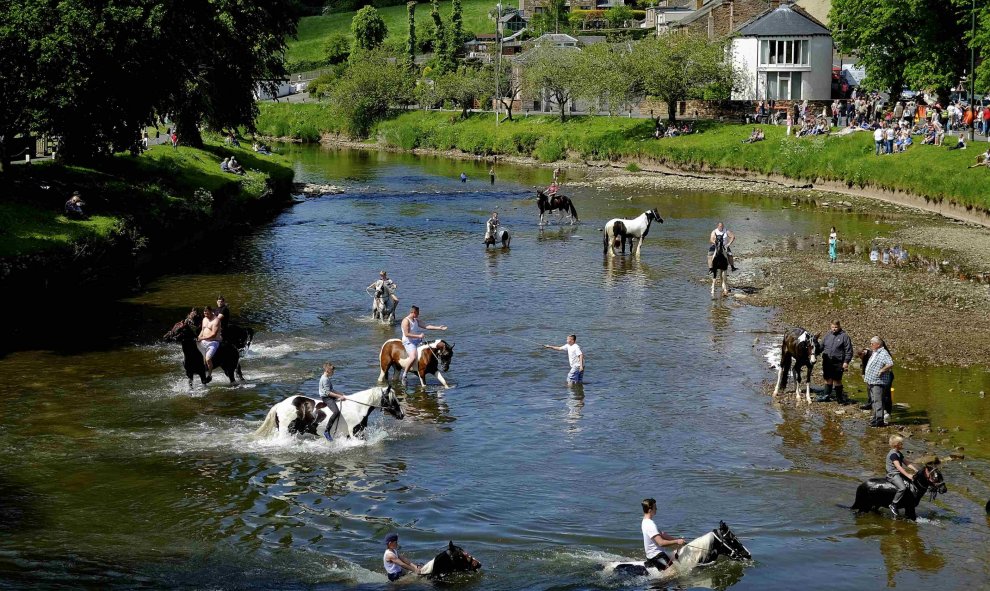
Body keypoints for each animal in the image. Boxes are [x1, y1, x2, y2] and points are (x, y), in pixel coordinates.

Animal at [254, 386, 404, 442]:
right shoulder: (355, 434)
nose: (402, 414)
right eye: (392, 399)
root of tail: (280, 405)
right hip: (286, 431)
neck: (358, 408)